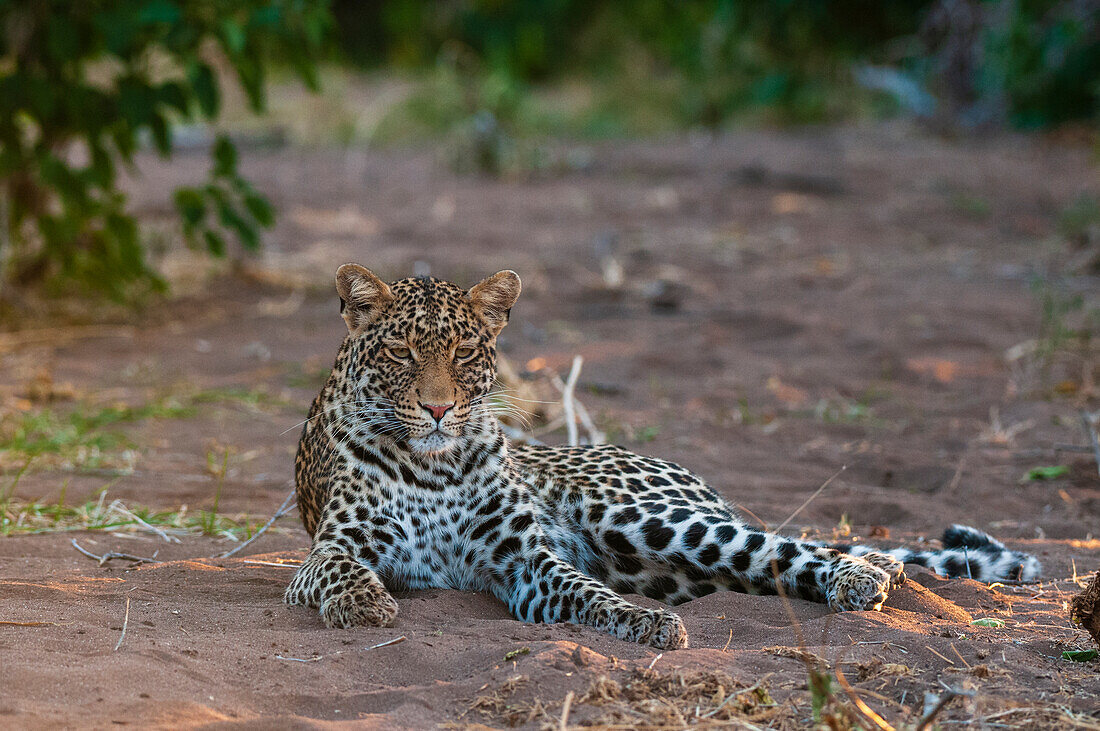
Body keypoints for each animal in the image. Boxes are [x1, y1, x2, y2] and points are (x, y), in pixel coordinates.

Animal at [283, 264, 1038, 646]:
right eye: (401, 352)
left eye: (465, 351)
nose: (440, 409)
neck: (432, 467)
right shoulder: (326, 553)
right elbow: (337, 570)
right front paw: (365, 604)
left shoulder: (526, 560)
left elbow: (584, 589)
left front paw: (644, 625)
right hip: (675, 564)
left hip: (643, 516)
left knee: (785, 545)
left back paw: (862, 575)